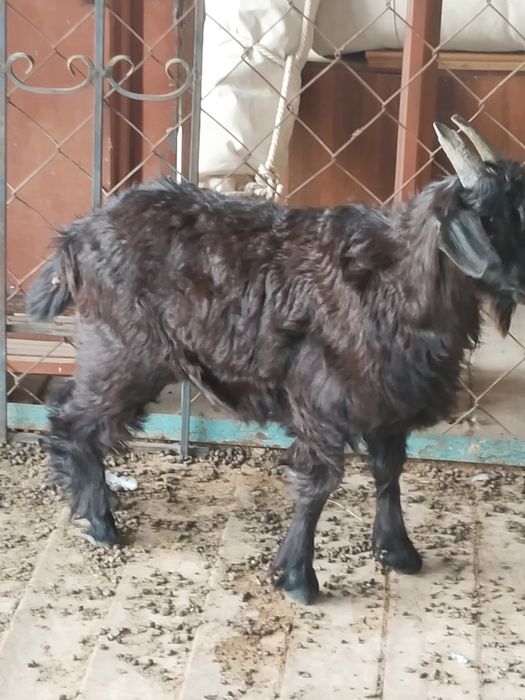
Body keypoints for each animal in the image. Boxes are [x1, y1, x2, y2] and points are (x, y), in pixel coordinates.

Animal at [26, 115, 525, 604]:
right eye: (491, 217)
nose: (521, 283)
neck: (394, 279)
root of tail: (75, 239)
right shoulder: (322, 403)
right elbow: (318, 484)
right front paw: (298, 578)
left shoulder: (388, 405)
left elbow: (389, 471)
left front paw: (398, 551)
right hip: (124, 352)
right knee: (76, 419)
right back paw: (99, 522)